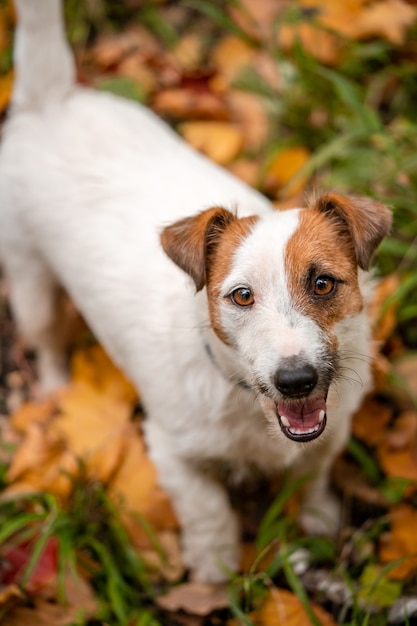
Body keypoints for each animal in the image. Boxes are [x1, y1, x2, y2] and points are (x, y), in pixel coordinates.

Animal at [0, 0, 390, 580]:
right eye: (241, 296)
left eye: (323, 283)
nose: (295, 380)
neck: (246, 401)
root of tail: (52, 100)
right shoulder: (173, 454)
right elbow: (210, 516)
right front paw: (216, 574)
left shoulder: (331, 430)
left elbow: (312, 475)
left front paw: (317, 518)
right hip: (29, 282)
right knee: (47, 340)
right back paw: (54, 389)